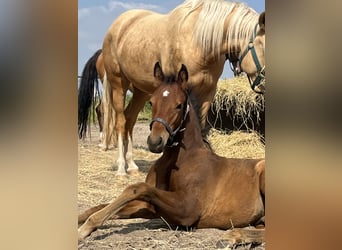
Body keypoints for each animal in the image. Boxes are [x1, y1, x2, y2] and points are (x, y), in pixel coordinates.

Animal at [77, 62, 264, 240]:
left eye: (179, 105)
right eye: (151, 102)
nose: (155, 142)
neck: (184, 159)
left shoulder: (188, 209)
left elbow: (137, 188)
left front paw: (86, 228)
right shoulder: (151, 207)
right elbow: (101, 205)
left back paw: (233, 236)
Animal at [100, 0, 266, 176]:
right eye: (263, 47)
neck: (199, 41)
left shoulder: (207, 92)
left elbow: (201, 126)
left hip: (141, 92)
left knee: (130, 120)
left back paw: (132, 166)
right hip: (118, 84)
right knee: (120, 122)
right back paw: (121, 168)